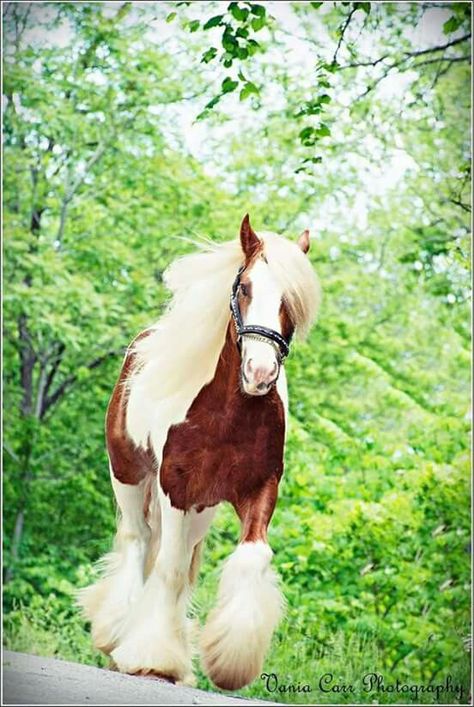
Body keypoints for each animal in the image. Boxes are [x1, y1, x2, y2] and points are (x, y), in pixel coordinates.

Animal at [79, 216, 320, 692]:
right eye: (244, 286)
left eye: (291, 298)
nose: (260, 373)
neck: (228, 414)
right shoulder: (176, 488)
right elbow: (169, 568)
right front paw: (153, 658)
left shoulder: (259, 489)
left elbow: (252, 557)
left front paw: (230, 663)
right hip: (129, 476)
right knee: (139, 543)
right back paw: (116, 633)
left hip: (202, 509)